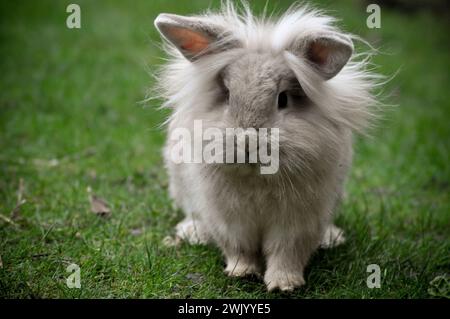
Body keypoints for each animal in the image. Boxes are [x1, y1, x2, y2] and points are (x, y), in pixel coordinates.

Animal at [153, 2, 382, 292]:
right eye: (227, 96)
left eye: (282, 99)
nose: (248, 143)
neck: (257, 180)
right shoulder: (228, 220)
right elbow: (239, 249)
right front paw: (242, 273)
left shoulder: (299, 222)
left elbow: (287, 253)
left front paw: (285, 284)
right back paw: (193, 233)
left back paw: (332, 238)